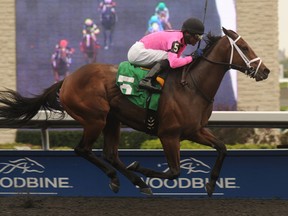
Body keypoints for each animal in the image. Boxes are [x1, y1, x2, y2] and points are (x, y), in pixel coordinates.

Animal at [0, 27, 270, 197]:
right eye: (244, 47)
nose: (266, 71)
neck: (192, 86)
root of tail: (66, 80)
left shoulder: (195, 131)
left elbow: (222, 149)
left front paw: (211, 185)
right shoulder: (169, 135)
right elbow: (174, 172)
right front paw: (140, 167)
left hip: (112, 120)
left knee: (110, 154)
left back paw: (135, 182)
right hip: (95, 118)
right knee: (83, 150)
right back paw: (122, 178)